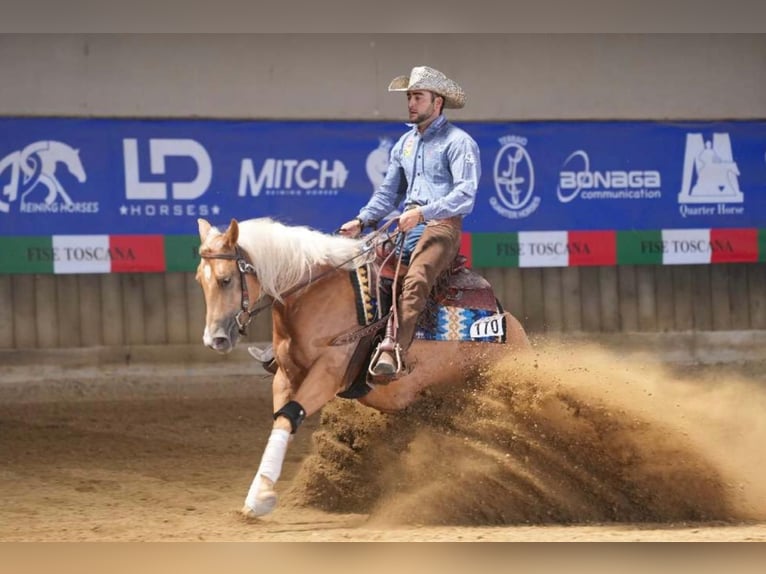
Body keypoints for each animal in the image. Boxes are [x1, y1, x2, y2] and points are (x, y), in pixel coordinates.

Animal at [195, 217, 532, 520]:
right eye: (200, 279)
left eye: (226, 279)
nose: (215, 339)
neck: (313, 294)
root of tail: (511, 328)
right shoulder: (286, 375)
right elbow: (283, 420)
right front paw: (259, 494)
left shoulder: (328, 374)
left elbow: (290, 415)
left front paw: (260, 498)